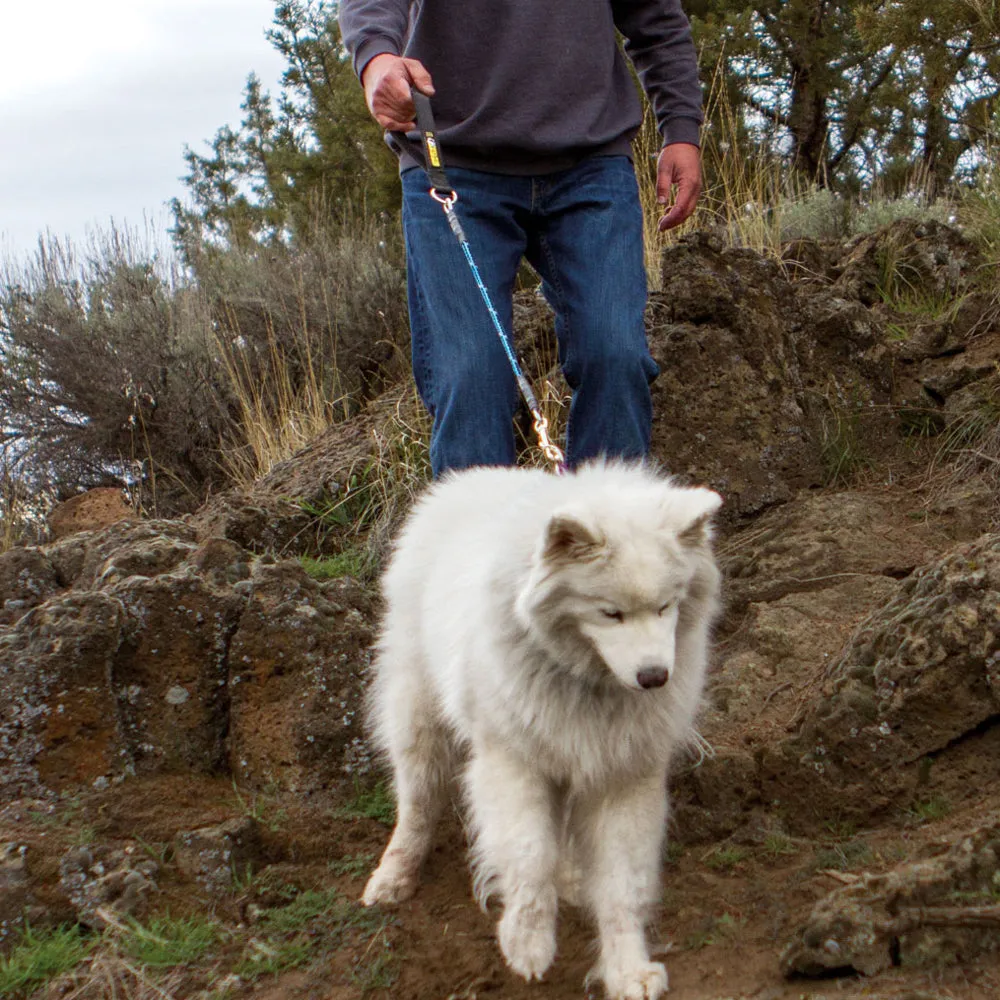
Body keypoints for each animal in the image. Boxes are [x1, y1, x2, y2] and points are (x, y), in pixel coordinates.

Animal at [360, 462, 720, 1000]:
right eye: (610, 612)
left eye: (666, 607)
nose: (655, 677)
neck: (588, 682)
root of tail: (461, 480)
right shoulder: (513, 762)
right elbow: (529, 854)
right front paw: (527, 942)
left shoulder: (623, 775)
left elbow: (622, 884)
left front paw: (628, 970)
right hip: (419, 717)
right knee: (418, 801)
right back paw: (394, 876)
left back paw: (570, 877)